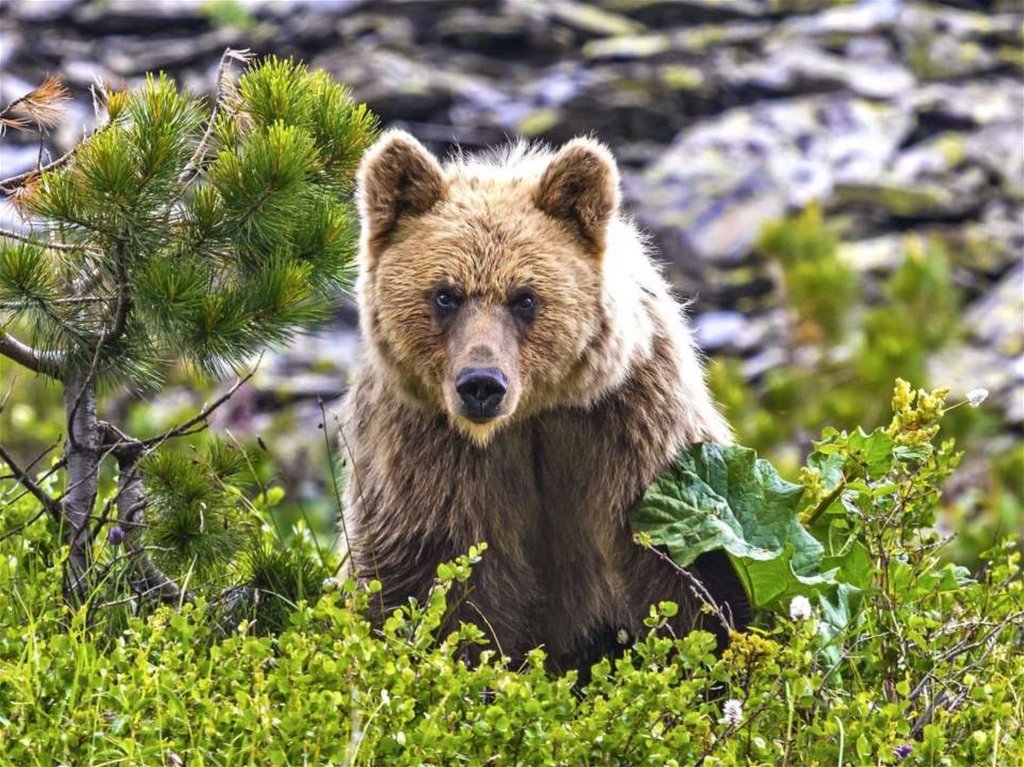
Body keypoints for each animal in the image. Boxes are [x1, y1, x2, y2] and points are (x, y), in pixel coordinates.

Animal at [339, 128, 749, 667]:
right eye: (445, 294)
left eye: (525, 298)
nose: (482, 384)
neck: (529, 417)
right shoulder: (430, 453)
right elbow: (433, 580)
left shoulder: (629, 426)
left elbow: (680, 567)